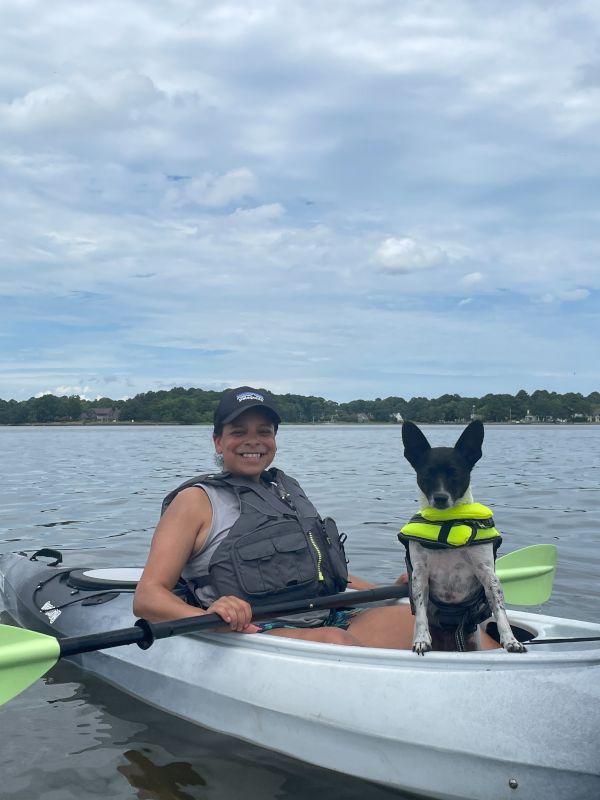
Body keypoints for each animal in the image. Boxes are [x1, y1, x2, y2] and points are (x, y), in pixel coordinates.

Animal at [404, 418, 524, 656]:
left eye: (455, 473)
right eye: (427, 474)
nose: (440, 498)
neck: (447, 523)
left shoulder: (488, 574)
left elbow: (500, 609)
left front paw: (510, 640)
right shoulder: (419, 575)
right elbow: (421, 611)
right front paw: (421, 639)